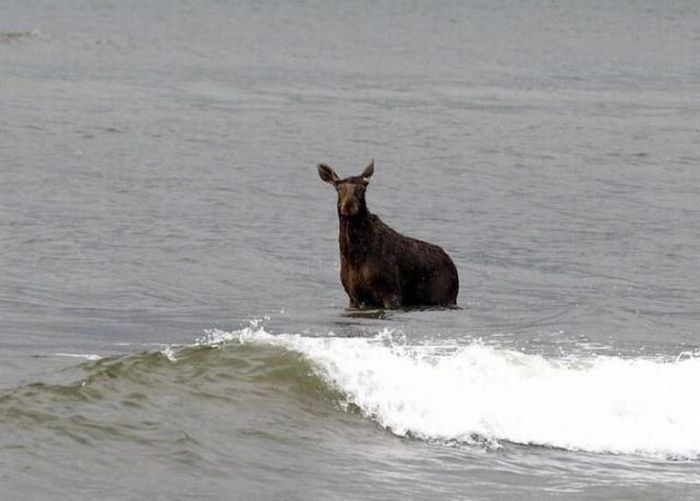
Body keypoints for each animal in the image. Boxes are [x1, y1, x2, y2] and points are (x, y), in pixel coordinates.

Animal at [318, 160, 460, 308]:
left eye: (363, 189)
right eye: (338, 188)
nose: (349, 206)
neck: (353, 254)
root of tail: (453, 267)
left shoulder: (391, 293)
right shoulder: (354, 296)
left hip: (444, 298)